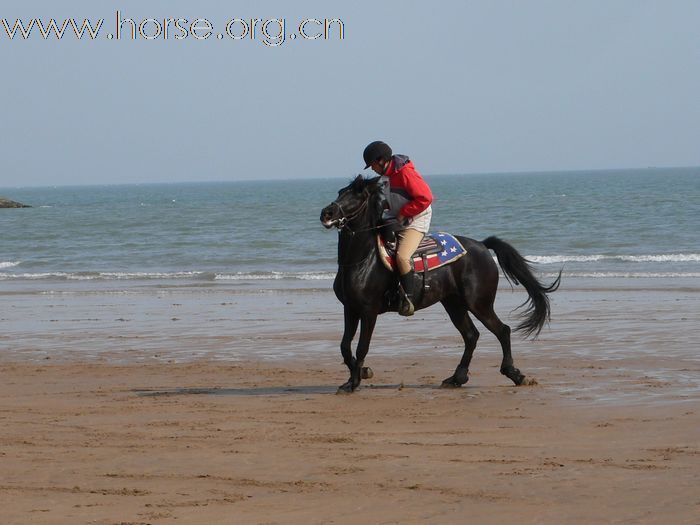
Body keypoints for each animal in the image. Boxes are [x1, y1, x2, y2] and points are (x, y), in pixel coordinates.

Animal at [320, 176, 560, 392]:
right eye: (340, 192)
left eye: (357, 195)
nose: (326, 213)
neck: (362, 260)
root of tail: (482, 246)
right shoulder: (350, 309)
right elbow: (344, 346)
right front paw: (359, 374)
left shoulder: (368, 311)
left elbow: (361, 347)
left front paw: (355, 381)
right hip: (454, 304)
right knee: (471, 336)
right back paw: (457, 378)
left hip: (479, 304)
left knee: (502, 331)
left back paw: (515, 375)